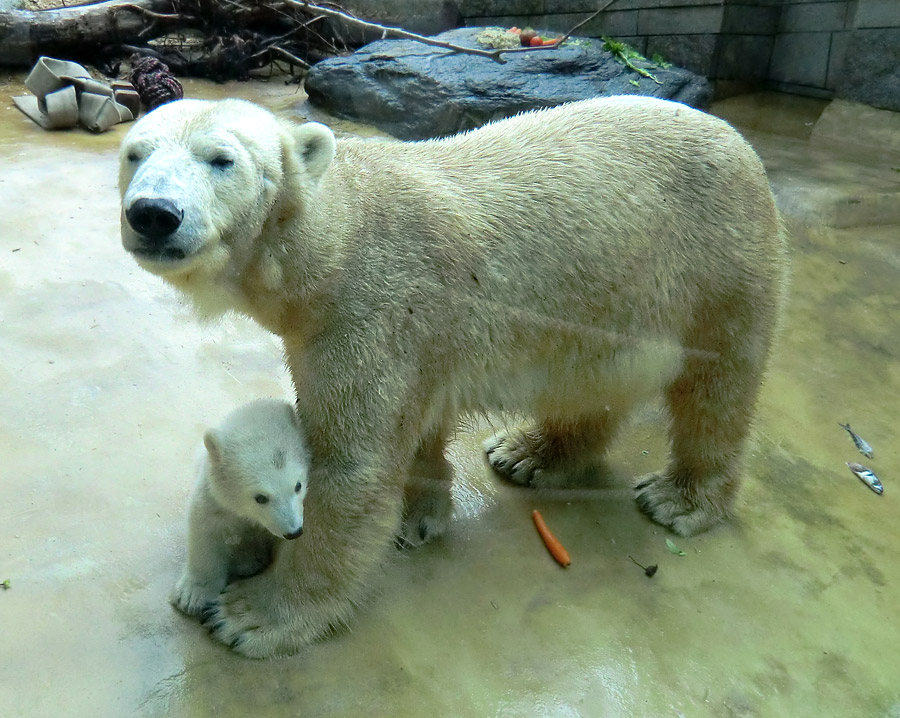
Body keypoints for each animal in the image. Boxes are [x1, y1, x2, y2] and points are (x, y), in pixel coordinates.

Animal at [121, 95, 788, 660]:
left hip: (719, 263)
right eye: (134, 153)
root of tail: (739, 142)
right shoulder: (405, 330)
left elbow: (351, 465)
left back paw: (681, 498)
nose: (153, 214)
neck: (337, 239)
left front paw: (253, 615)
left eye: (221, 159)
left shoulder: (371, 306)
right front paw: (420, 514)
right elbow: (416, 420)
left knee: (717, 386)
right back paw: (529, 453)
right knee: (589, 382)